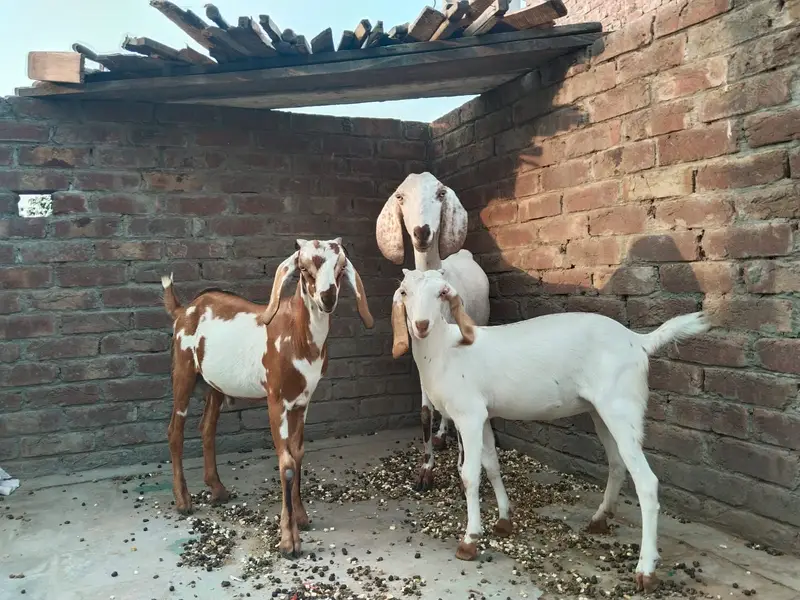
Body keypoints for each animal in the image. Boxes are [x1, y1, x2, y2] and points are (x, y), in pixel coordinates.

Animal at [161, 238, 373, 558]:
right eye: (303, 268)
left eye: (340, 267)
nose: (327, 297)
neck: (298, 337)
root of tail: (184, 310)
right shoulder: (277, 401)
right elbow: (285, 464)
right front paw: (289, 541)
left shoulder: (303, 401)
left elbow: (298, 455)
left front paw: (302, 517)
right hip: (184, 371)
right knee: (176, 430)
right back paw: (183, 501)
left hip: (214, 384)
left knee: (207, 427)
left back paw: (218, 490)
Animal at [377, 172, 490, 491]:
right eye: (400, 196)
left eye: (441, 193)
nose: (422, 232)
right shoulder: (420, 356)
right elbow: (426, 412)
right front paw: (425, 470)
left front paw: (462, 465)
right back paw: (440, 435)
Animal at [390, 268, 710, 593]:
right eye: (404, 292)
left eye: (442, 293)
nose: (421, 325)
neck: (445, 352)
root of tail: (638, 341)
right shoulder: (484, 415)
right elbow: (492, 466)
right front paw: (504, 520)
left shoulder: (469, 415)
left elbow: (470, 475)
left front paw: (470, 540)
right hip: (601, 410)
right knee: (617, 463)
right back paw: (600, 519)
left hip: (621, 406)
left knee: (647, 482)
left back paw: (645, 570)